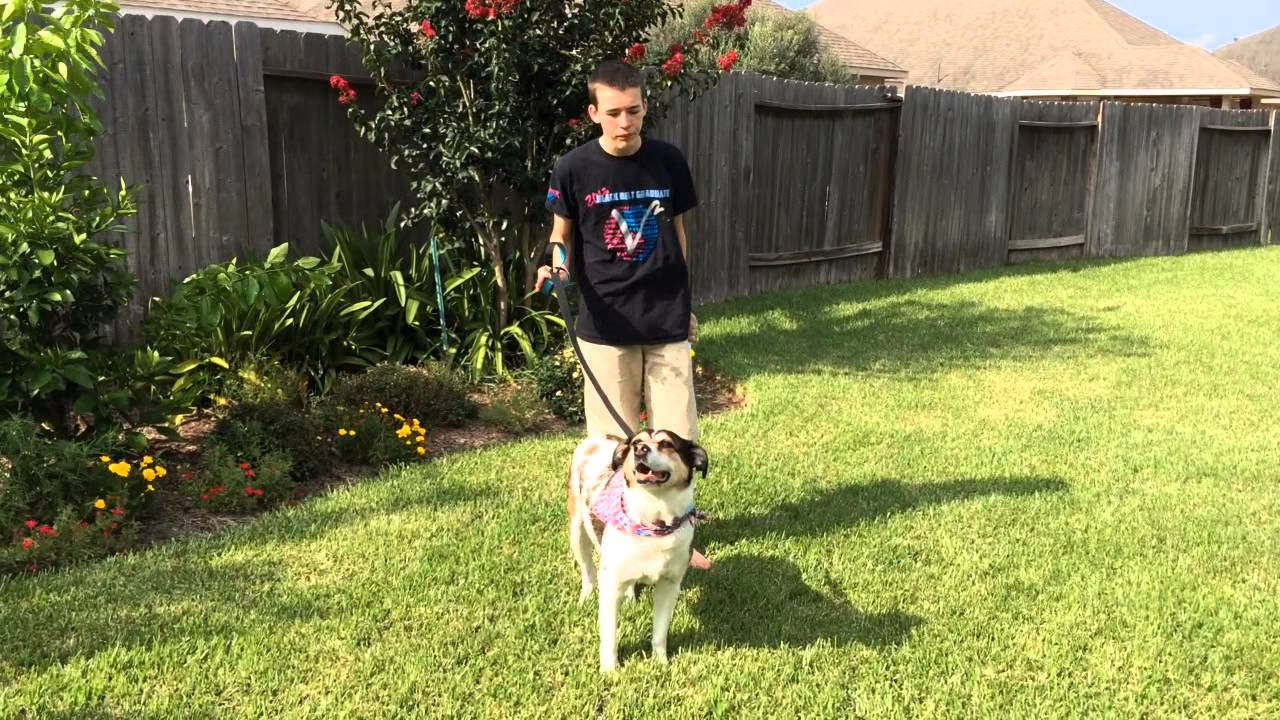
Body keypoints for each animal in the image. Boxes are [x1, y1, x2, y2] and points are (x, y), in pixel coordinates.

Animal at [567, 429, 709, 672]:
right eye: (637, 442)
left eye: (666, 444)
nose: (640, 449)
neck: (654, 522)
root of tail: (601, 436)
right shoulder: (610, 584)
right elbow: (609, 636)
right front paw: (609, 671)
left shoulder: (669, 584)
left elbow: (660, 633)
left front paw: (661, 663)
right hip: (577, 530)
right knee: (588, 572)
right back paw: (584, 598)